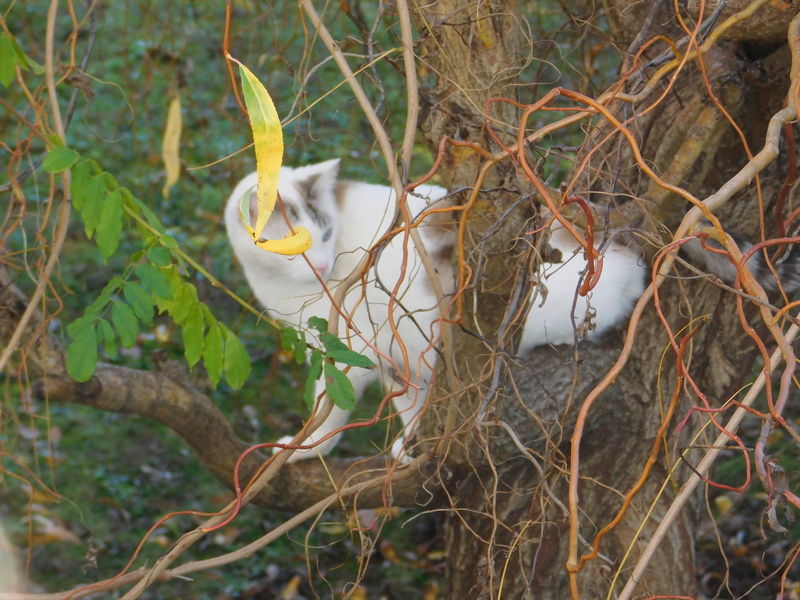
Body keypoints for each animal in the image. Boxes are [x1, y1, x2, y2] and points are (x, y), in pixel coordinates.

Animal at [225, 159, 454, 460]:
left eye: (326, 235)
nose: (323, 266)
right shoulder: (397, 358)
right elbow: (413, 403)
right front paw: (412, 445)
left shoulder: (350, 348)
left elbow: (328, 412)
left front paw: (304, 448)